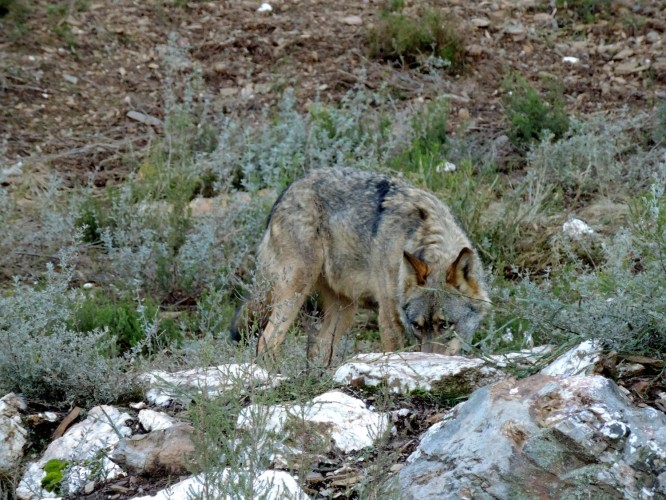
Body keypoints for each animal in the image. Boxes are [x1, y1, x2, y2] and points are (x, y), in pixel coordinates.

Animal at [231, 167, 490, 366]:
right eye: (417, 326)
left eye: (444, 325)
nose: (429, 362)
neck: (423, 236)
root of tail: (286, 191)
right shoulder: (389, 316)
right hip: (296, 291)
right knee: (266, 341)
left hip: (344, 309)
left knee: (318, 349)